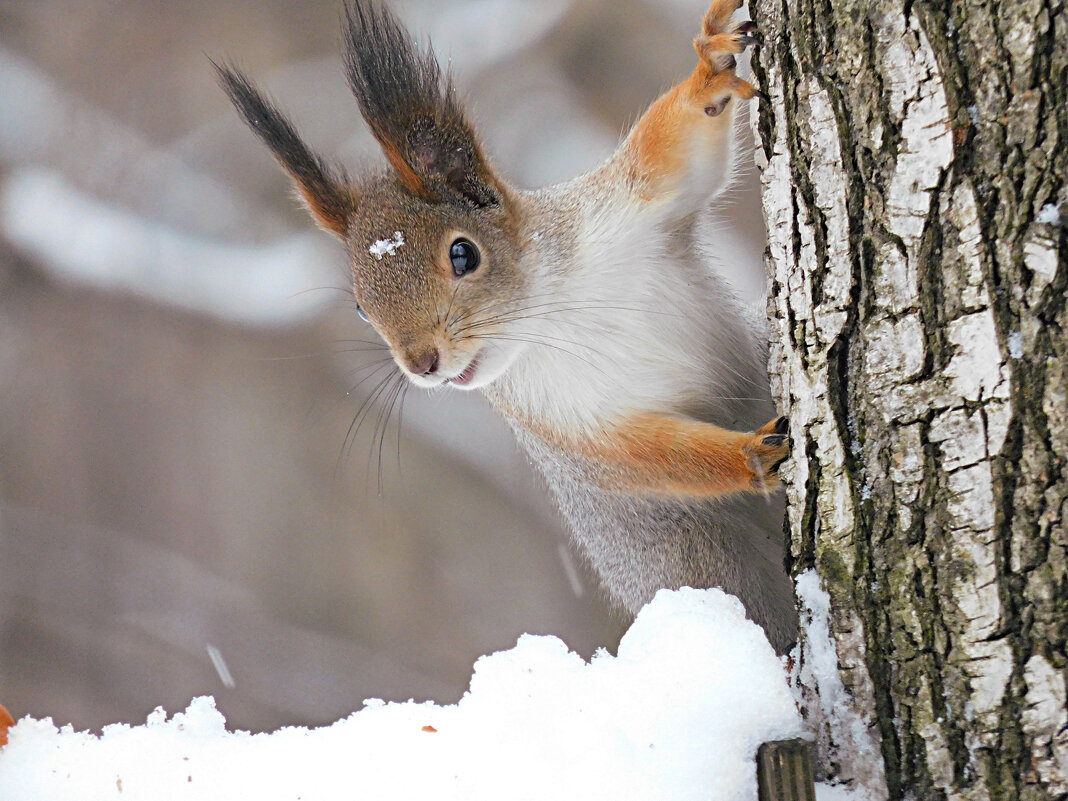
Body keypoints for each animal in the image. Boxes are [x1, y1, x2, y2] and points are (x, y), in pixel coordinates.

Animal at [218, 0, 803, 653]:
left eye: (463, 254)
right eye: (363, 309)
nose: (422, 364)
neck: (550, 315)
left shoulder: (625, 210)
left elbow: (676, 148)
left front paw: (710, 66)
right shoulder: (568, 425)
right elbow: (645, 457)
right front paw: (749, 454)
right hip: (704, 561)